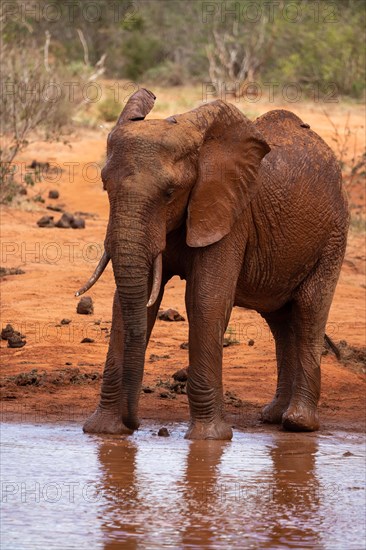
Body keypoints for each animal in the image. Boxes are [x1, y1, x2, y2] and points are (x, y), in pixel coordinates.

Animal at [77, 88, 348, 442]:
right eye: (105, 185)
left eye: (169, 193)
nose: (134, 423)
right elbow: (127, 304)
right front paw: (104, 432)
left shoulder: (231, 216)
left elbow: (206, 300)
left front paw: (209, 439)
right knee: (279, 320)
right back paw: (273, 417)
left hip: (334, 235)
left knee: (308, 309)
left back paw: (298, 423)